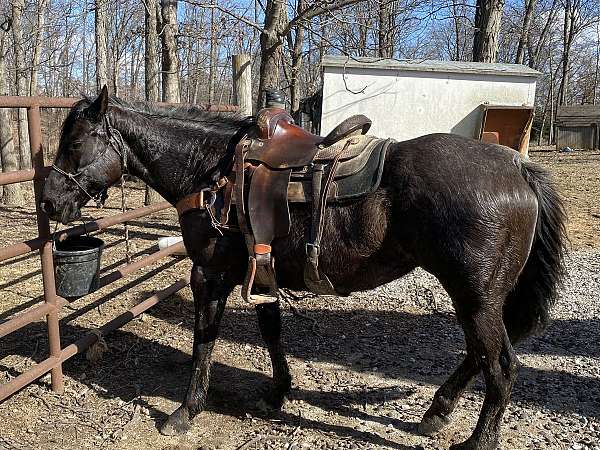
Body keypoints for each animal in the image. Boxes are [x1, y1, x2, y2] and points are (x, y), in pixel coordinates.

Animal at [42, 89, 568, 450]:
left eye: (74, 143)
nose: (48, 201)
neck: (210, 171)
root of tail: (518, 169)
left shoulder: (208, 274)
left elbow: (203, 343)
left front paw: (185, 412)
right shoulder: (261, 270)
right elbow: (272, 331)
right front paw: (277, 392)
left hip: (475, 297)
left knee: (500, 366)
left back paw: (475, 439)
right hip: (481, 298)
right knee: (482, 356)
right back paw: (437, 410)